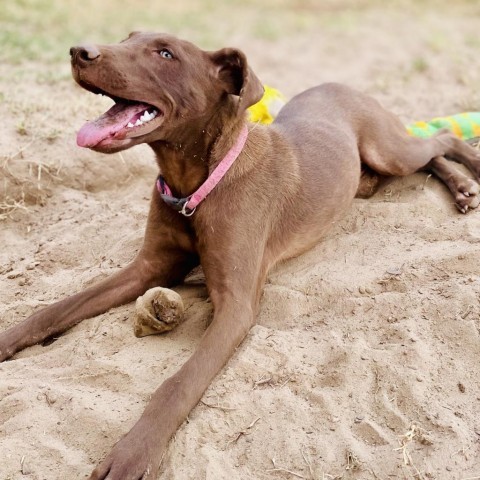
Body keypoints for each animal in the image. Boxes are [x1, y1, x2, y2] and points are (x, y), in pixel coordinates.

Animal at [0, 31, 480, 478]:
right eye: (126, 38)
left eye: (165, 53)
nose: (79, 51)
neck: (197, 184)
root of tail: (339, 83)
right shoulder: (146, 269)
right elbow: (57, 309)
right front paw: (9, 338)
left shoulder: (236, 306)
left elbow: (176, 384)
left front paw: (133, 452)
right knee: (424, 156)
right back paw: (458, 186)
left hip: (387, 150)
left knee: (439, 141)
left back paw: (466, 177)